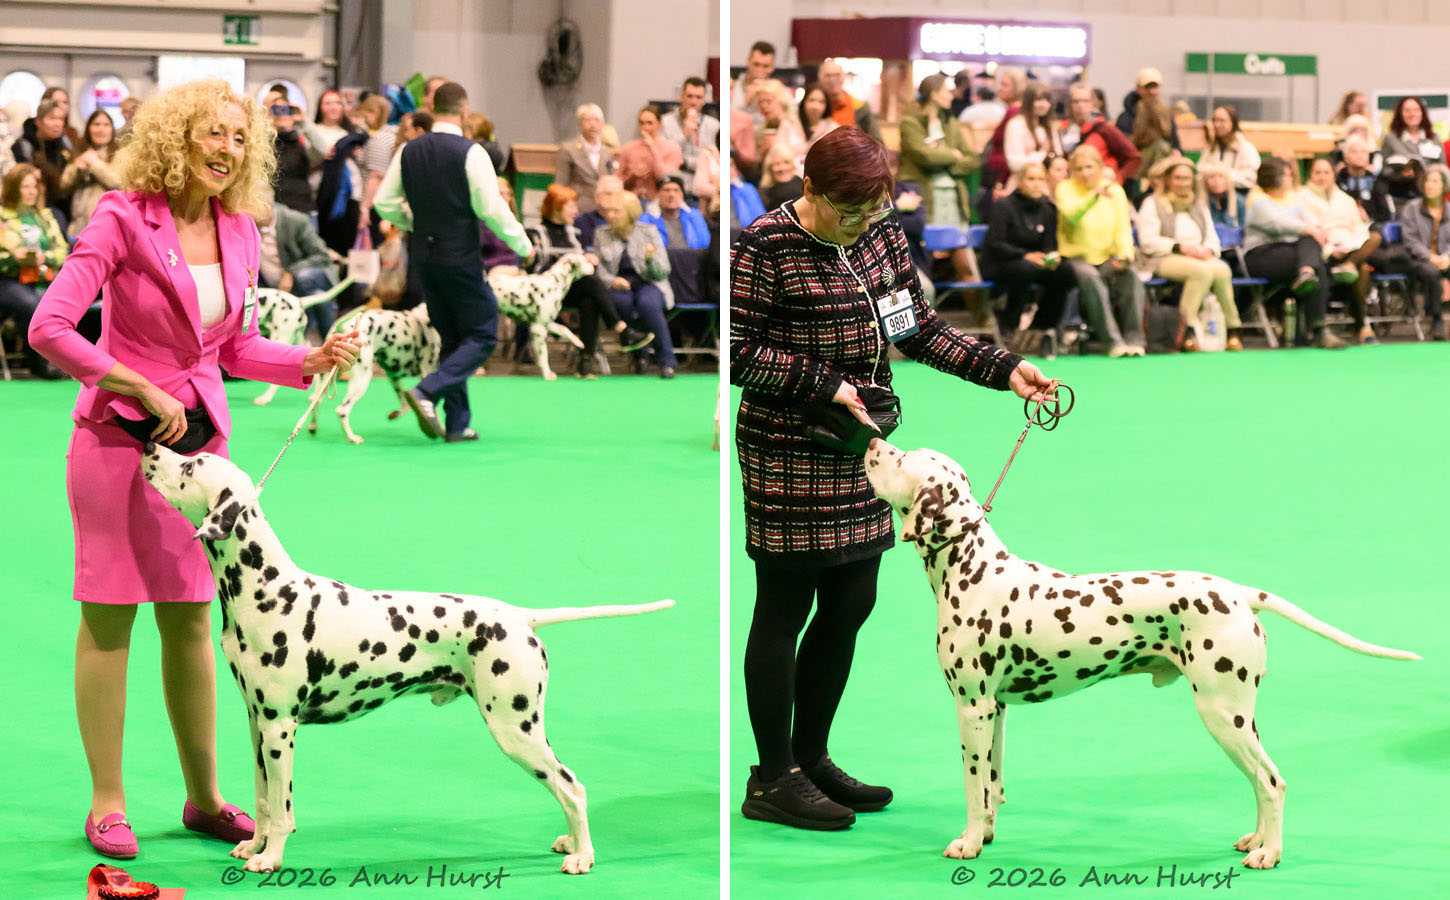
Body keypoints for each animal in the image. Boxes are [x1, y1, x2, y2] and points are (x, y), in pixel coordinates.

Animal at [140, 443, 672, 874]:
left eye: (189, 464)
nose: (148, 444)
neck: (265, 589)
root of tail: (522, 617)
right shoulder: (258, 723)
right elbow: (263, 799)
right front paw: (254, 846)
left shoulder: (280, 727)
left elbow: (283, 807)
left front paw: (270, 860)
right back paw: (571, 844)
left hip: (515, 728)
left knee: (572, 786)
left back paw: (584, 856)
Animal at [307, 306, 440, 444]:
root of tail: (343, 326)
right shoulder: (429, 373)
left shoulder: (393, 376)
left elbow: (405, 402)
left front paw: (397, 413)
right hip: (361, 380)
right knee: (342, 410)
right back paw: (352, 438)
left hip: (327, 379)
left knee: (315, 400)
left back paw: (313, 427)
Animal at [863, 439, 1418, 870]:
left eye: (902, 457)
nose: (869, 440)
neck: (972, 567)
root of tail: (1240, 593)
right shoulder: (995, 709)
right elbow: (992, 785)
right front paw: (989, 834)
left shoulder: (971, 708)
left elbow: (972, 786)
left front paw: (969, 842)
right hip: (1241, 717)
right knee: (1262, 782)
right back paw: (1257, 840)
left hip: (1221, 714)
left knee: (1272, 781)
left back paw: (1269, 854)